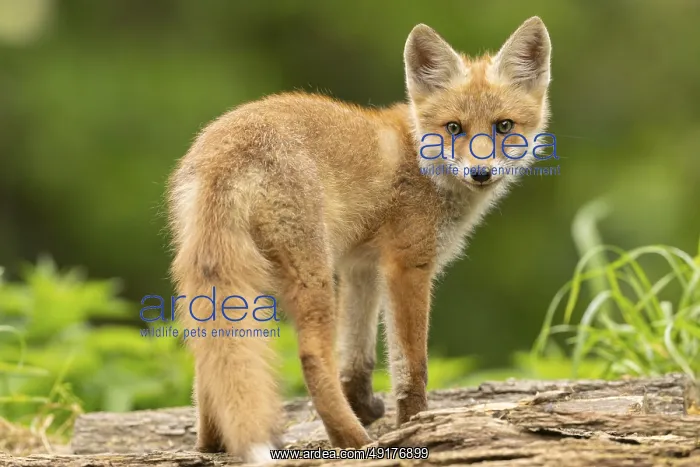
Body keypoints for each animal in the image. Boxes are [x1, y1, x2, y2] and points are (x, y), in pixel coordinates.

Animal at [167, 16, 552, 463]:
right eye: (454, 128)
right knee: (312, 359)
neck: (421, 160)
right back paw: (353, 441)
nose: (481, 172)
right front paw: (415, 423)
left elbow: (358, 359)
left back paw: (212, 442)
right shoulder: (406, 265)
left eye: (503, 126)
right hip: (311, 275)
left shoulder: (360, 266)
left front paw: (365, 405)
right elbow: (411, 365)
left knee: (209, 358)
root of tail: (225, 151)